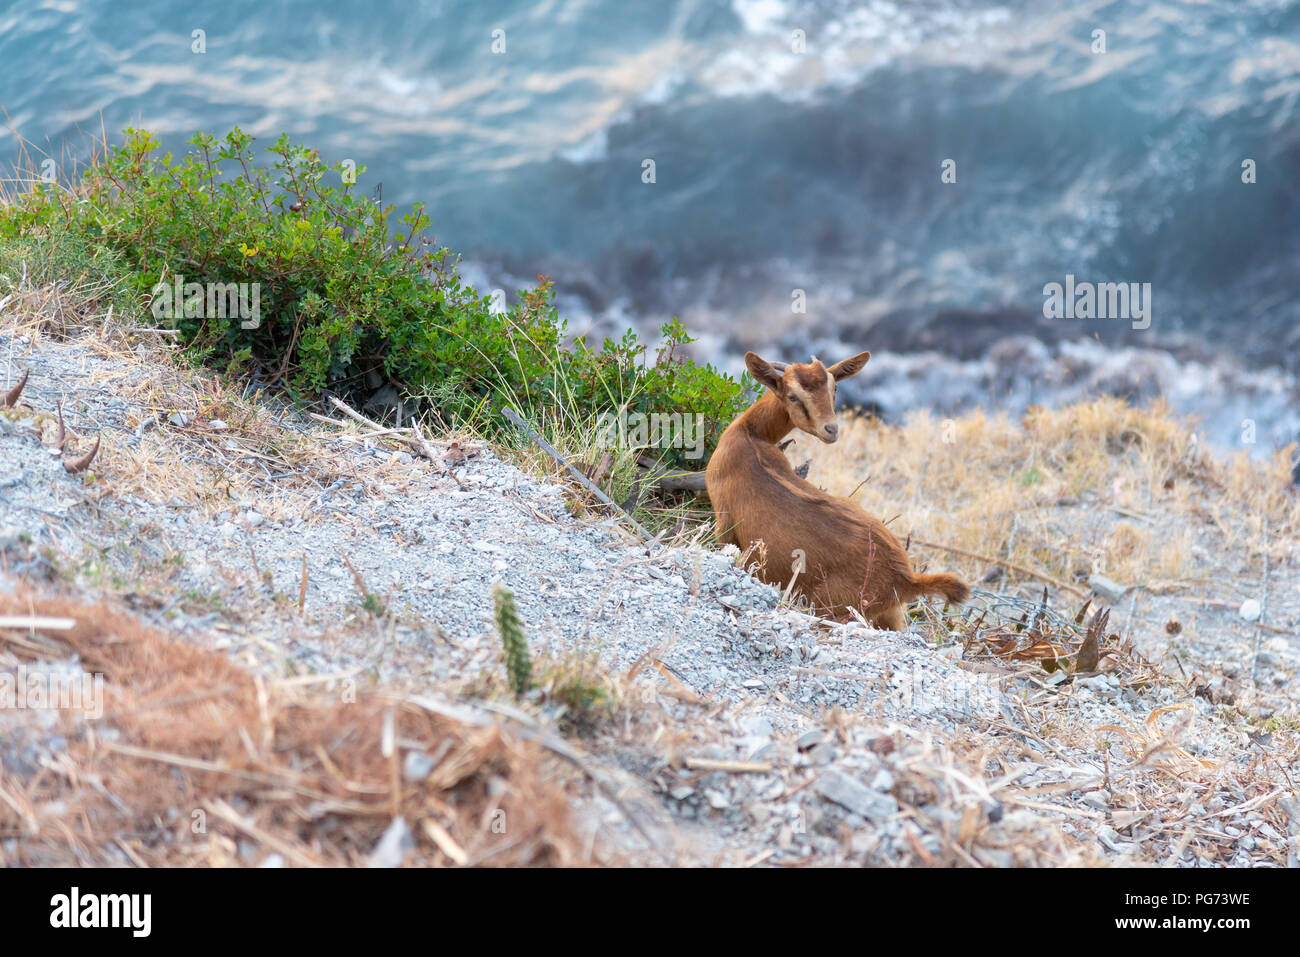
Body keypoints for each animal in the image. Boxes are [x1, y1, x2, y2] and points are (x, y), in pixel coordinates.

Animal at [707, 348, 972, 629]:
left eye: (834, 388)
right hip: (889, 615)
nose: (831, 429)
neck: (749, 433)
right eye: (793, 395)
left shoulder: (724, 522)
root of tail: (905, 579)